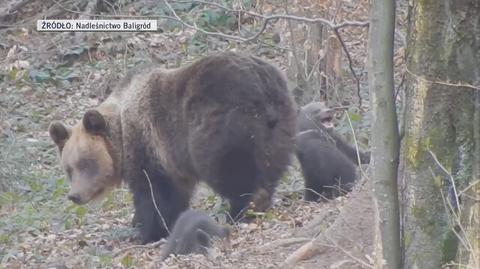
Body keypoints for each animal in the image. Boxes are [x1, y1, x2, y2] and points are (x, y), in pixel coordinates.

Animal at [49, 52, 296, 243]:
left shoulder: (150, 148)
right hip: (279, 122)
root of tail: (262, 83)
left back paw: (238, 210)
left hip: (218, 123)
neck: (121, 134)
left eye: (86, 163)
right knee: (271, 162)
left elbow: (155, 195)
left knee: (229, 170)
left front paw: (147, 232)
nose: (75, 195)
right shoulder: (172, 161)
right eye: (68, 168)